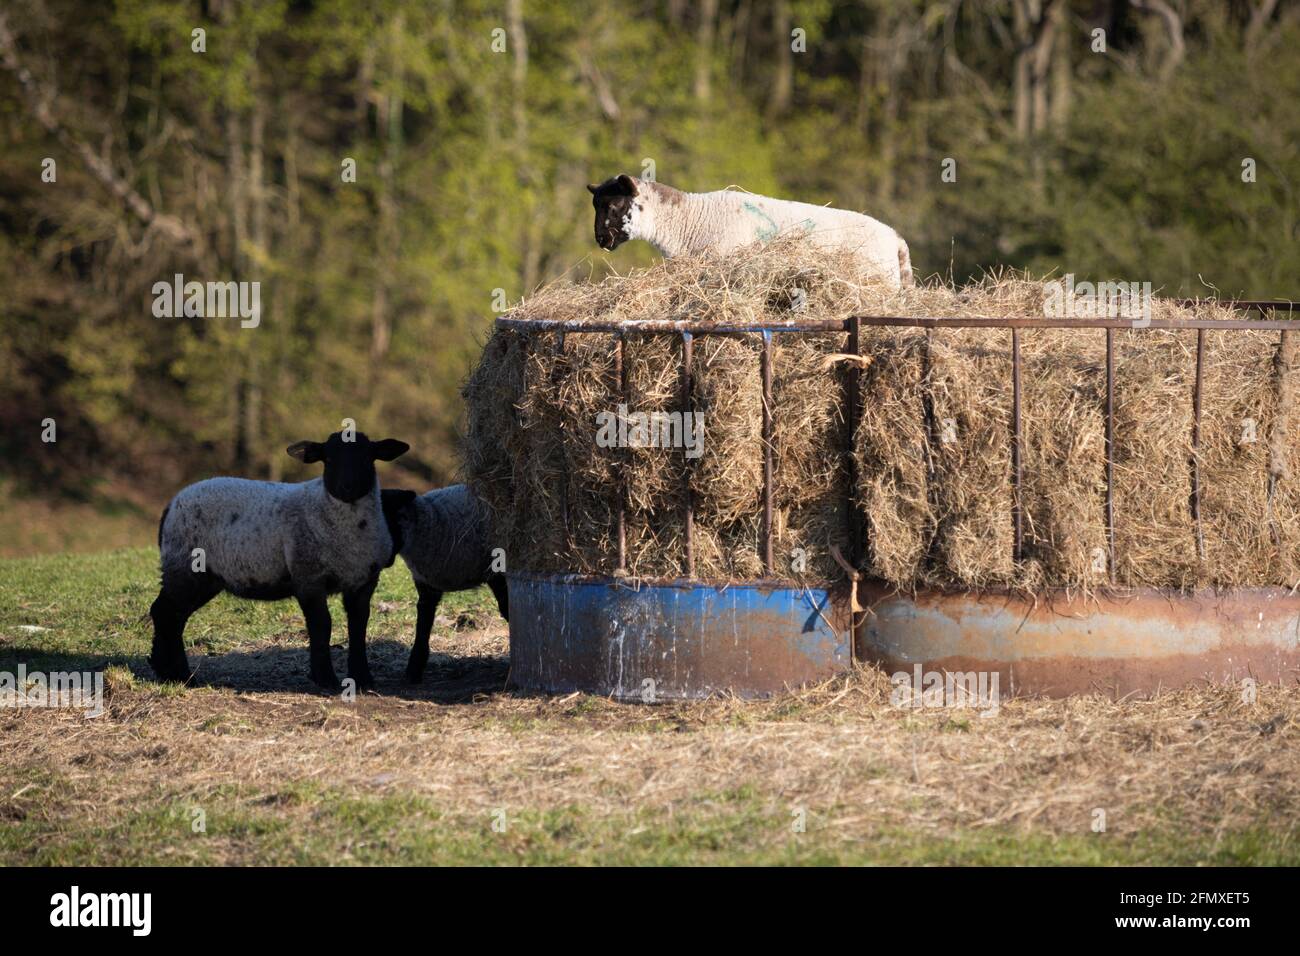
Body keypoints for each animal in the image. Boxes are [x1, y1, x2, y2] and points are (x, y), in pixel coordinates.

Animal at [148, 429, 413, 691]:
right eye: (328, 459)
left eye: (368, 458)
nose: (346, 488)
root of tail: (170, 506)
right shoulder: (308, 577)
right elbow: (322, 625)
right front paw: (325, 678)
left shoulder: (364, 581)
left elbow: (358, 626)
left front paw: (363, 678)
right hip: (185, 568)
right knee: (166, 614)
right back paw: (180, 675)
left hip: (204, 578)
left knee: (172, 616)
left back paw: (169, 672)